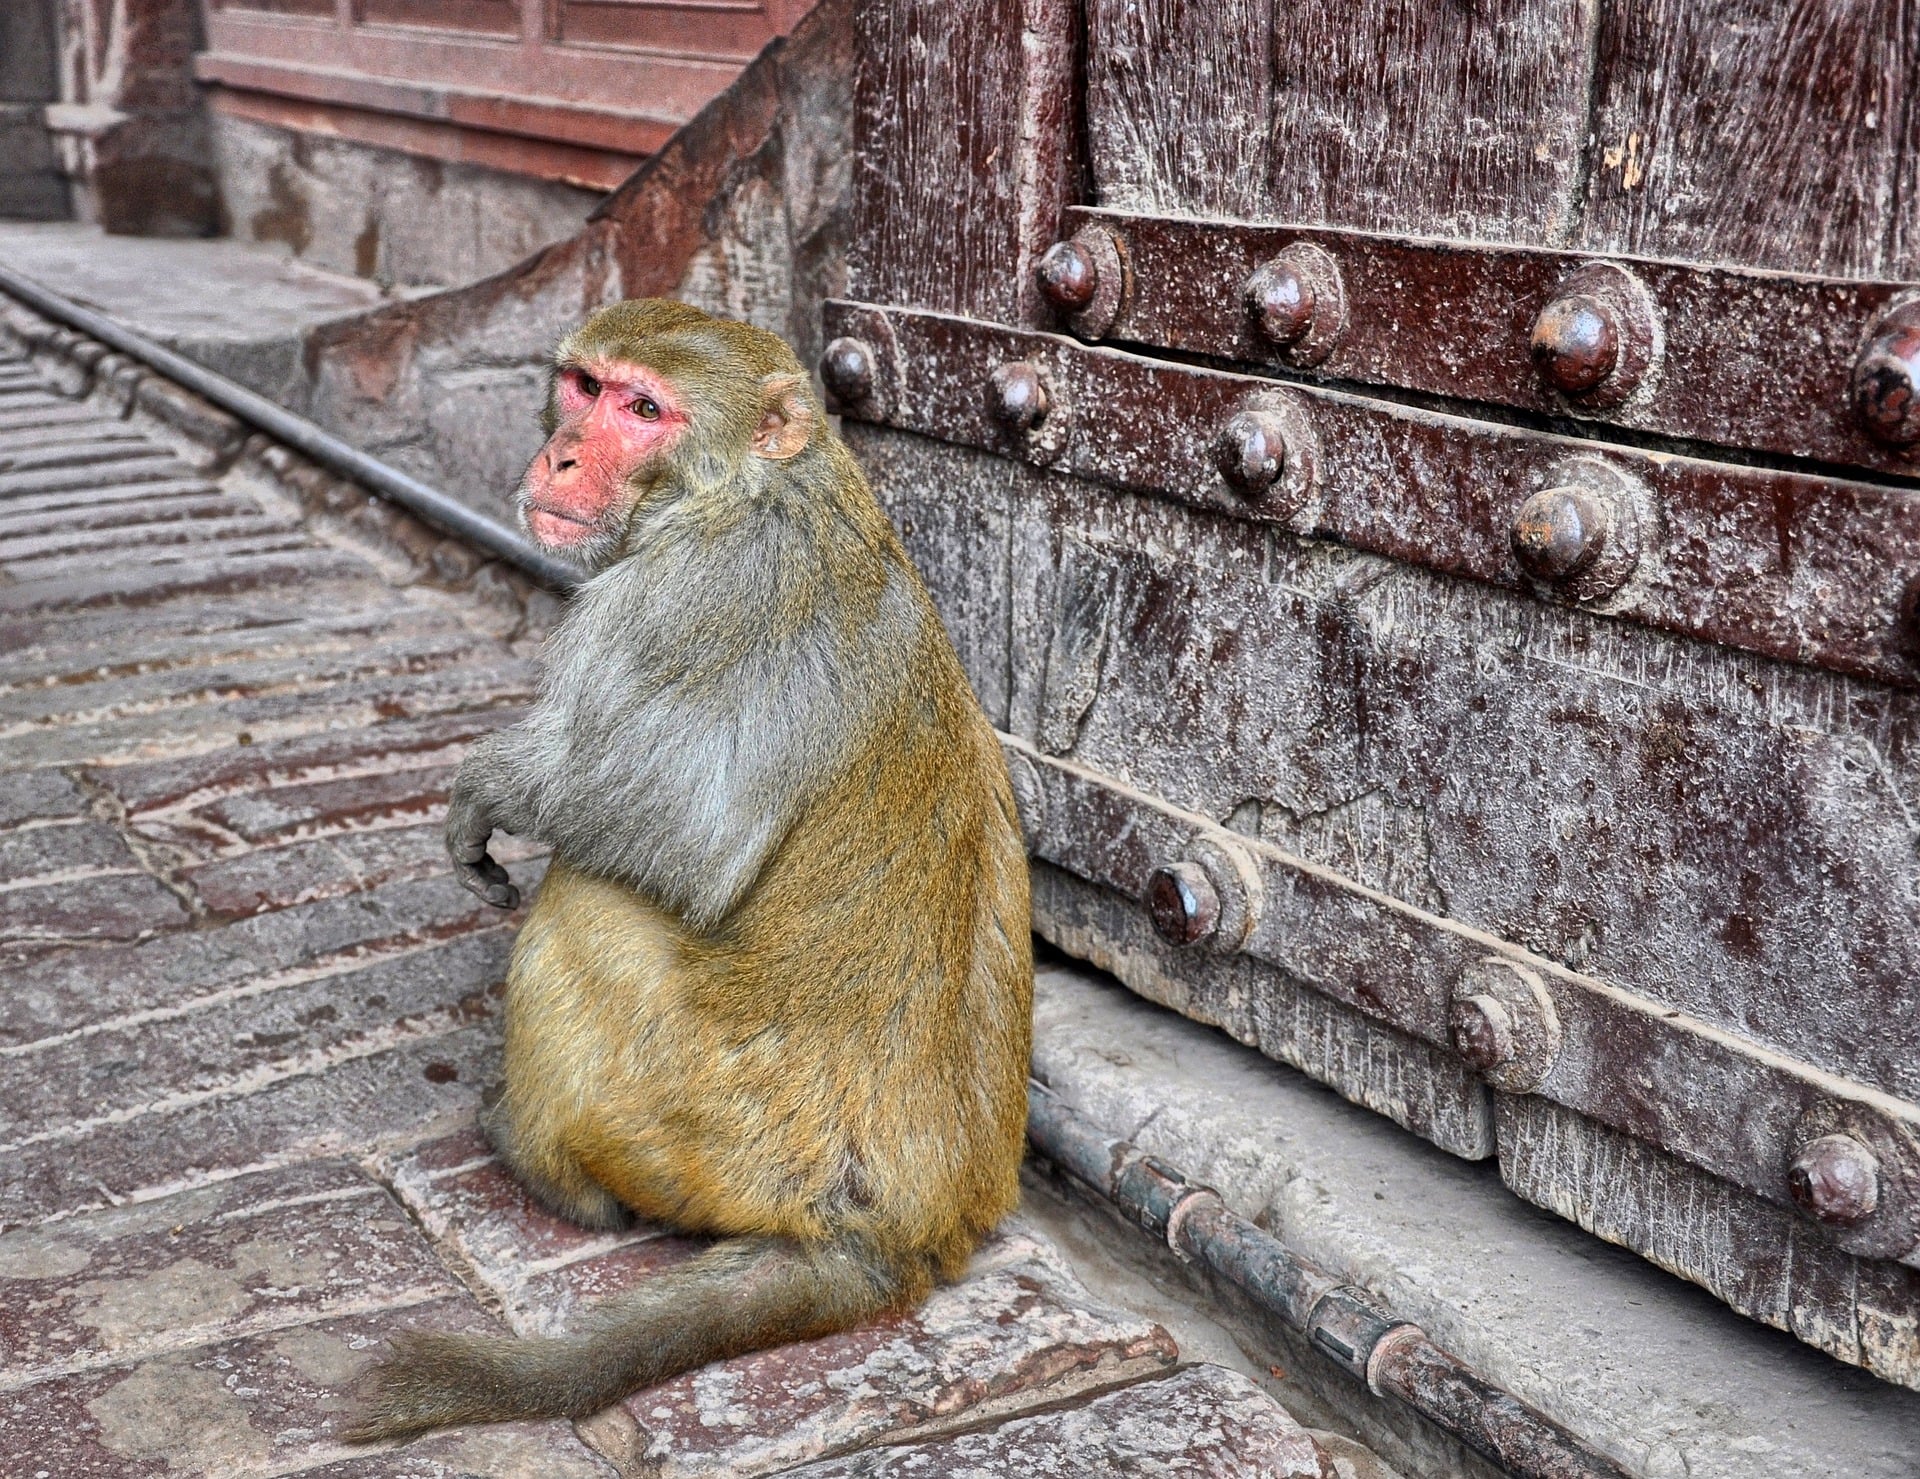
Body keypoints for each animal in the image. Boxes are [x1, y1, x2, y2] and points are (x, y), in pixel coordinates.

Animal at [345, 293, 1036, 1436]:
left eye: (643, 409)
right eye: (583, 387)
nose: (563, 453)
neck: (755, 484)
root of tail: (896, 1238)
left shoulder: (685, 594)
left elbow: (688, 832)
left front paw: (487, 786)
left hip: (710, 1134)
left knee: (584, 903)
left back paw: (543, 1167)